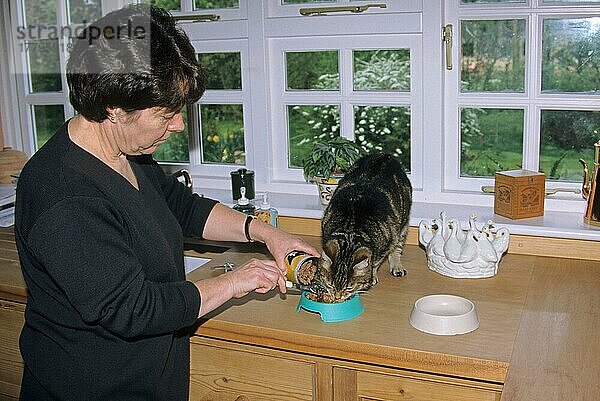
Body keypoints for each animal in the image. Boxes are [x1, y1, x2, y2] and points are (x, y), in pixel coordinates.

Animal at [318, 152, 412, 300]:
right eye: (330, 284)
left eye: (348, 287)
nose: (338, 297)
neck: (350, 230)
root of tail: (385, 155)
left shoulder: (387, 242)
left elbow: (375, 262)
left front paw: (371, 276)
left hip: (403, 224)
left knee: (397, 248)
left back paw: (397, 267)